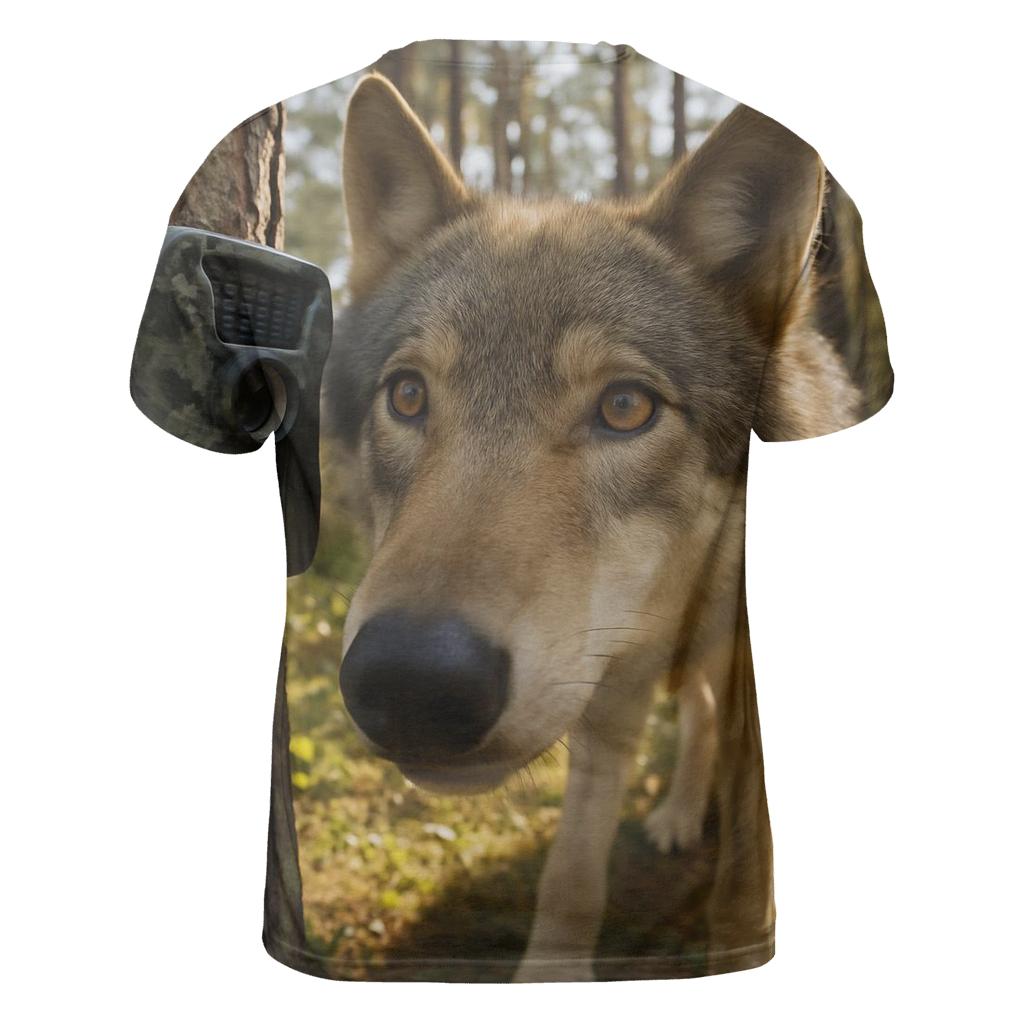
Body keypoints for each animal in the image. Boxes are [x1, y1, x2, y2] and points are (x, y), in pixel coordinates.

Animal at [323, 72, 877, 981]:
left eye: (625, 407)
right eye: (406, 395)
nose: (410, 684)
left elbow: (744, 878)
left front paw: (737, 941)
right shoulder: (603, 705)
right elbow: (571, 879)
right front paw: (552, 972)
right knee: (696, 714)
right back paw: (679, 814)